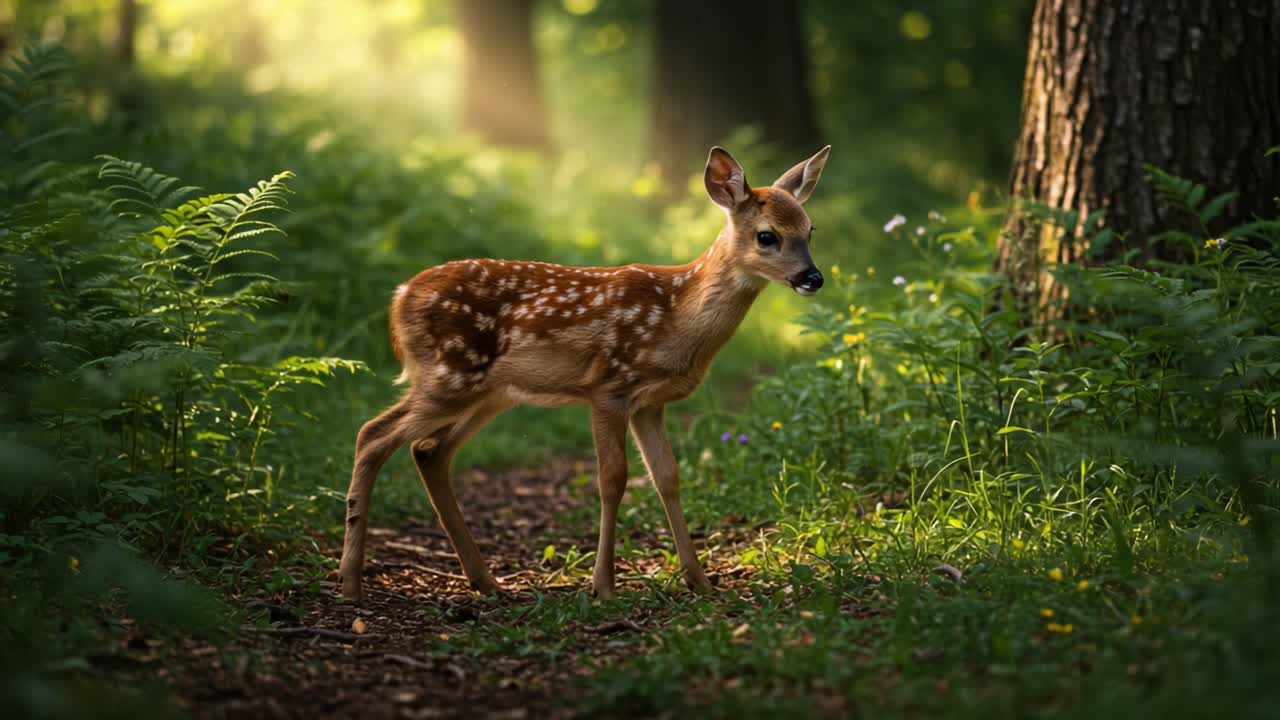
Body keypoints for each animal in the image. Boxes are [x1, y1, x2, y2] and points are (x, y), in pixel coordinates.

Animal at [339, 145, 831, 601]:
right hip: (450, 374)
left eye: (810, 231)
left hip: (491, 392)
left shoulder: (650, 403)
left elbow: (667, 478)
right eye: (767, 236)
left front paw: (701, 582)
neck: (677, 316)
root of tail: (399, 299)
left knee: (428, 450)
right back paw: (350, 582)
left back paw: (485, 581)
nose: (813, 278)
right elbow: (613, 480)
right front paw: (604, 586)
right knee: (372, 434)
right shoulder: (608, 386)